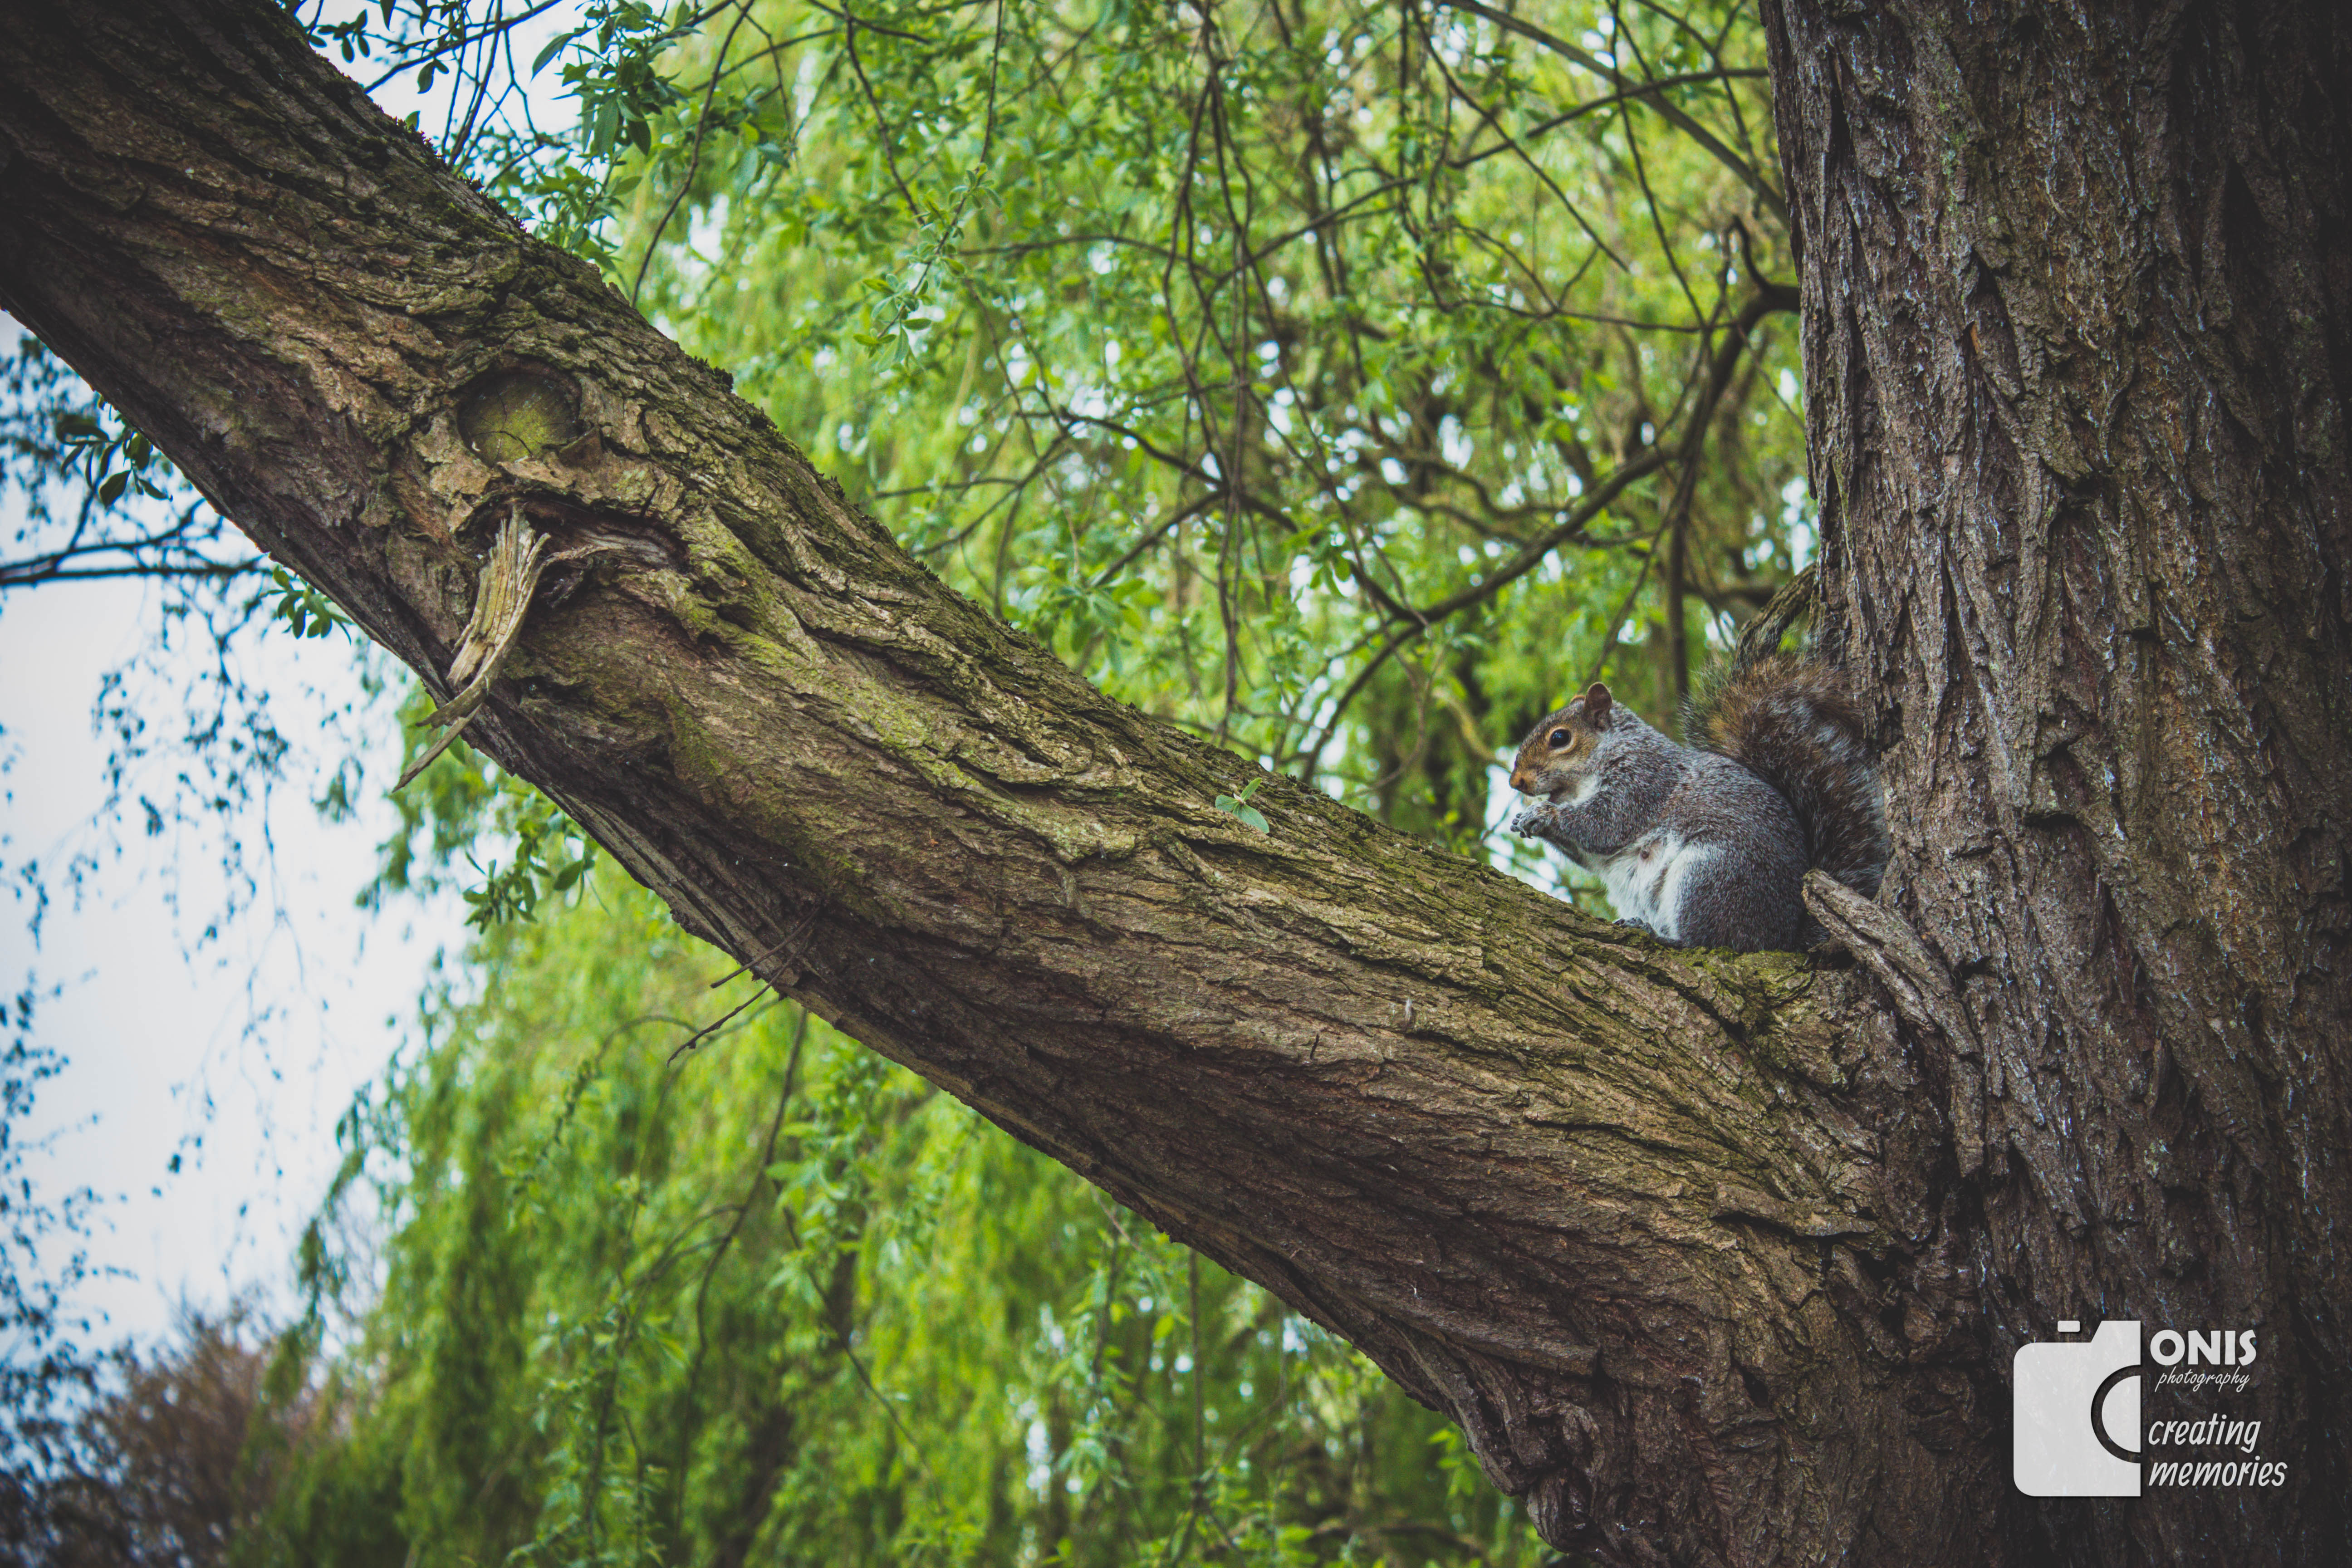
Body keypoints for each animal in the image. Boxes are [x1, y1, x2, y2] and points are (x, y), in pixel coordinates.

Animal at [1505, 654, 1888, 952]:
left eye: (1560, 738)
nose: (1515, 782)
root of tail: (1782, 938)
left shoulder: (1643, 781)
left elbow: (1605, 825)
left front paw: (1545, 814)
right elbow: (1589, 853)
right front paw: (1523, 819)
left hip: (1711, 875)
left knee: (1711, 942)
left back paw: (1660, 936)